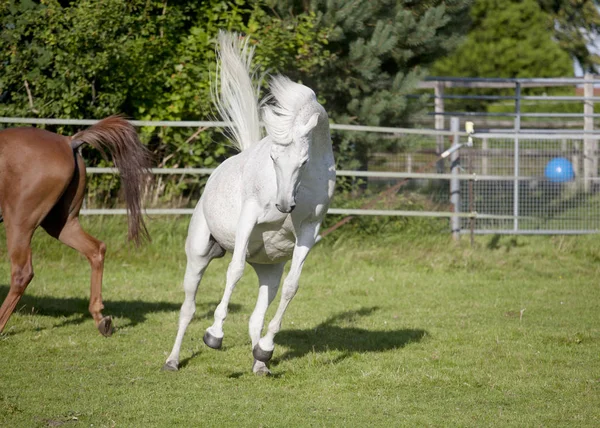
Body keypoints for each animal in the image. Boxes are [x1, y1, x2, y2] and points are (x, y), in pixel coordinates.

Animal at [0, 115, 150, 336]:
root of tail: (68, 142)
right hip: (61, 224)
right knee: (96, 249)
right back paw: (100, 318)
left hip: (19, 222)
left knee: (22, 273)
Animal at [162, 30, 336, 374]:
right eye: (272, 157)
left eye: (304, 161)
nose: (283, 206)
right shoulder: (249, 218)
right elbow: (235, 270)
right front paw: (214, 335)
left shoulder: (309, 230)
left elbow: (292, 287)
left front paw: (267, 349)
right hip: (198, 255)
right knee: (188, 308)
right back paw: (173, 360)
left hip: (268, 271)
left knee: (256, 318)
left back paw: (260, 362)